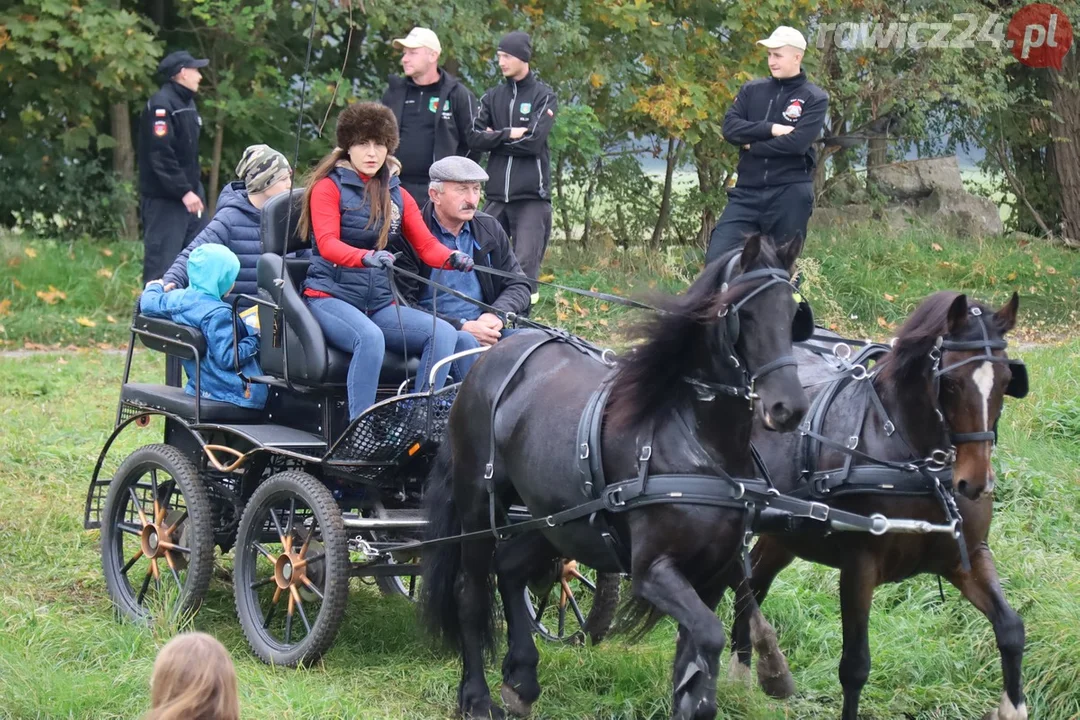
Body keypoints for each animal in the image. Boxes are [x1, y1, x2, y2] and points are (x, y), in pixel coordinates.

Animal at [421, 237, 812, 720]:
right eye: (746, 313)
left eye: (793, 314)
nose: (788, 408)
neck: (697, 443)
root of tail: (487, 360)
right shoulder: (652, 571)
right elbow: (709, 638)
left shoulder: (713, 573)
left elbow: (695, 660)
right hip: (479, 502)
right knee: (471, 592)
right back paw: (476, 696)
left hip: (555, 519)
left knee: (509, 568)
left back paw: (522, 678)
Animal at [730, 289, 1023, 720]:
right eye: (951, 383)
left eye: (1005, 381)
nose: (975, 483)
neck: (920, 468)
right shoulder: (858, 567)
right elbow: (855, 667)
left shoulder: (966, 555)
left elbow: (1011, 629)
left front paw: (1013, 707)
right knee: (738, 579)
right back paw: (767, 668)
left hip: (784, 533)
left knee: (753, 581)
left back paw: (742, 675)